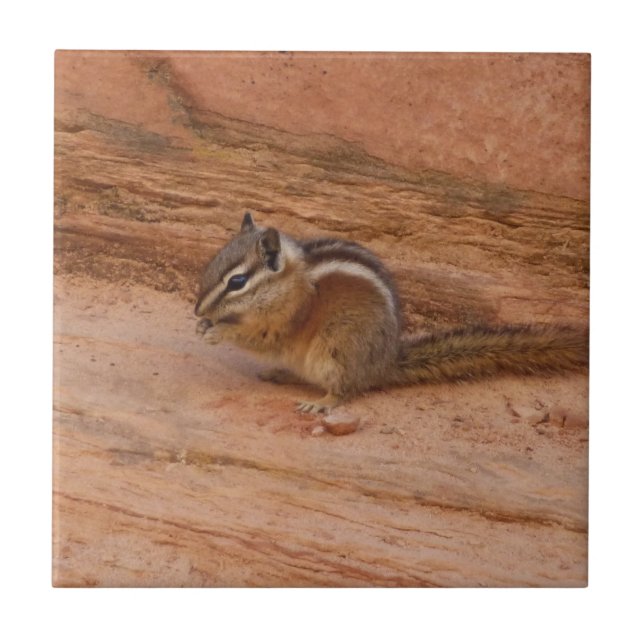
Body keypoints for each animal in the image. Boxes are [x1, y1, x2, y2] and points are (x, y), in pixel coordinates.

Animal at [195, 213, 588, 413]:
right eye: (213, 264)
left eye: (237, 281)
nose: (196, 307)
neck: (289, 282)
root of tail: (384, 363)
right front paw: (203, 324)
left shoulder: (288, 320)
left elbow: (260, 337)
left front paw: (218, 330)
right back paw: (280, 373)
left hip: (336, 350)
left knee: (345, 389)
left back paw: (321, 403)